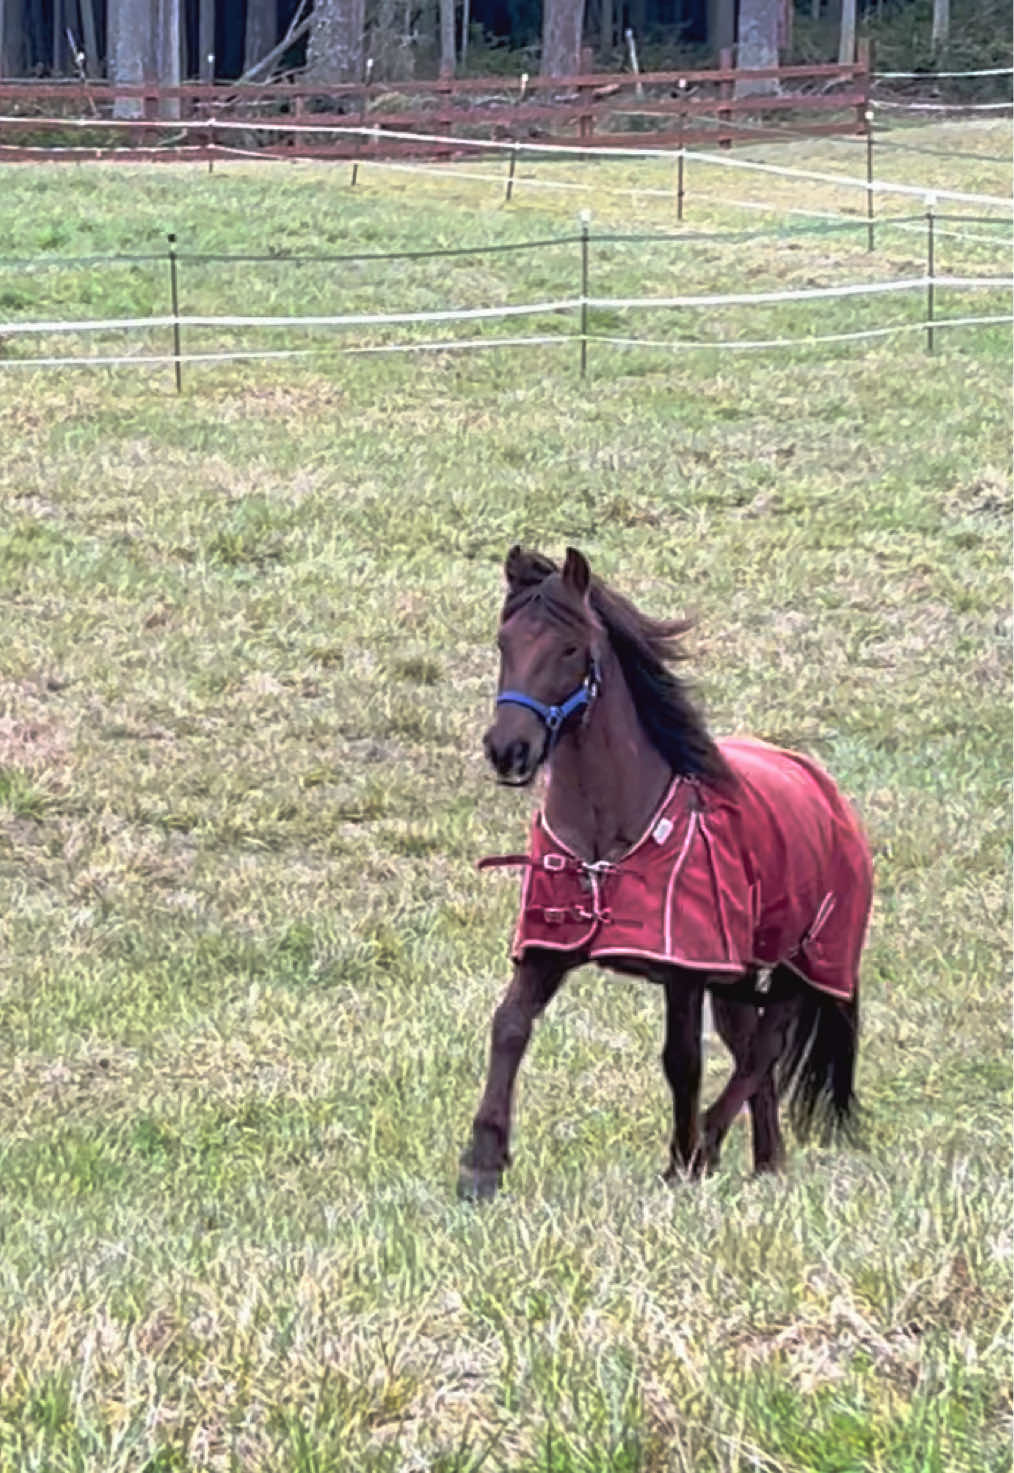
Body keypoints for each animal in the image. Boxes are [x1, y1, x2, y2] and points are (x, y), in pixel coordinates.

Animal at [458, 545, 873, 1201]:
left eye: (570, 648)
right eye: (504, 642)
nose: (509, 750)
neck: (608, 838)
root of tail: (822, 788)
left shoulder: (684, 969)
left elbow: (681, 1060)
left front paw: (681, 1162)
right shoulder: (548, 949)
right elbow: (509, 1027)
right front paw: (481, 1165)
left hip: (802, 963)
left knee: (763, 1048)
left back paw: (709, 1144)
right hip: (736, 976)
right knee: (751, 1050)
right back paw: (766, 1163)